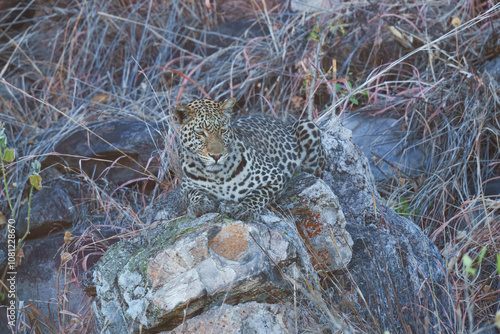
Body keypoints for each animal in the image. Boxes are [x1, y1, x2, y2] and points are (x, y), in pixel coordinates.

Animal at [174, 97, 326, 222]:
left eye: (223, 130)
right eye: (200, 133)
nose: (216, 156)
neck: (217, 175)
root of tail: (283, 122)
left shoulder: (276, 176)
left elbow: (259, 193)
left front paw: (245, 209)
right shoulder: (183, 191)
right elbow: (194, 192)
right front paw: (200, 205)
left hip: (308, 126)